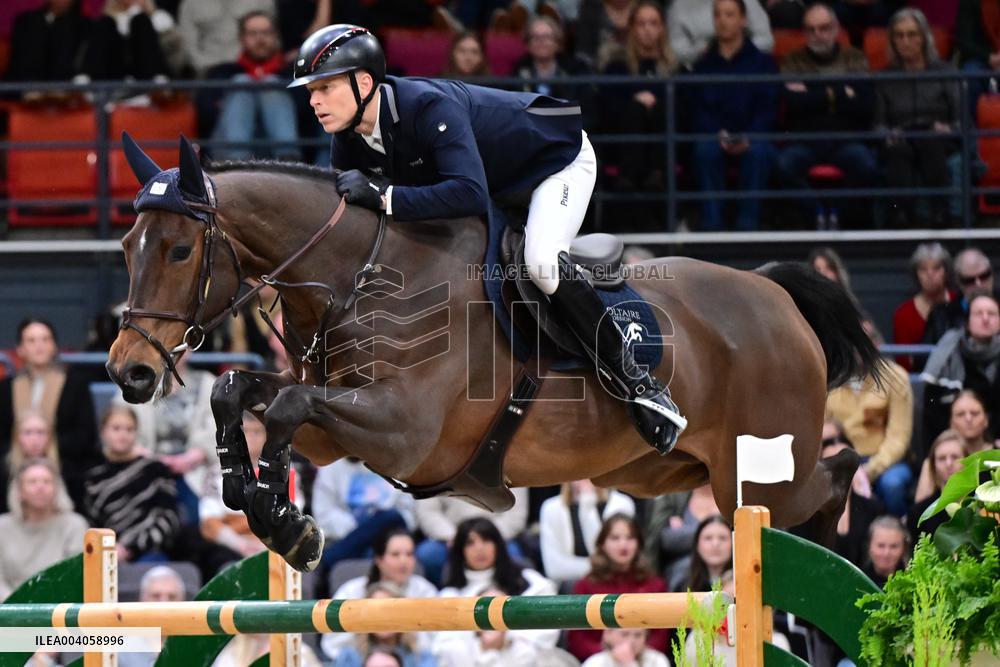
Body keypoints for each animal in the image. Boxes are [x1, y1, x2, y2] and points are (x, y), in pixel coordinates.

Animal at [106, 136, 884, 572]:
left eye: (179, 250)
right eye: (125, 245)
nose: (128, 371)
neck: (360, 273)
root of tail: (774, 295)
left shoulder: (404, 432)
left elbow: (288, 403)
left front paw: (283, 522)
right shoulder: (337, 436)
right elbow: (237, 391)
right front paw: (251, 492)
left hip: (757, 474)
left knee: (832, 474)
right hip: (657, 472)